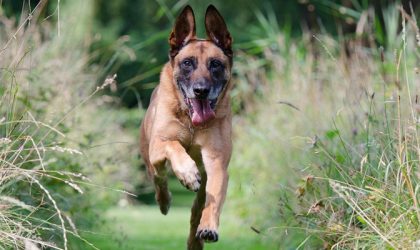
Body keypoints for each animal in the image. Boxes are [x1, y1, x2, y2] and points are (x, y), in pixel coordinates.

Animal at [140, 4, 233, 250]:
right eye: (187, 63)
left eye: (215, 64)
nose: (201, 90)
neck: (192, 123)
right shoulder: (160, 143)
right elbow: (174, 145)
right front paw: (188, 173)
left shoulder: (216, 163)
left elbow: (213, 201)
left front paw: (208, 227)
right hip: (150, 157)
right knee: (159, 177)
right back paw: (164, 200)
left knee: (196, 211)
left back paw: (195, 239)